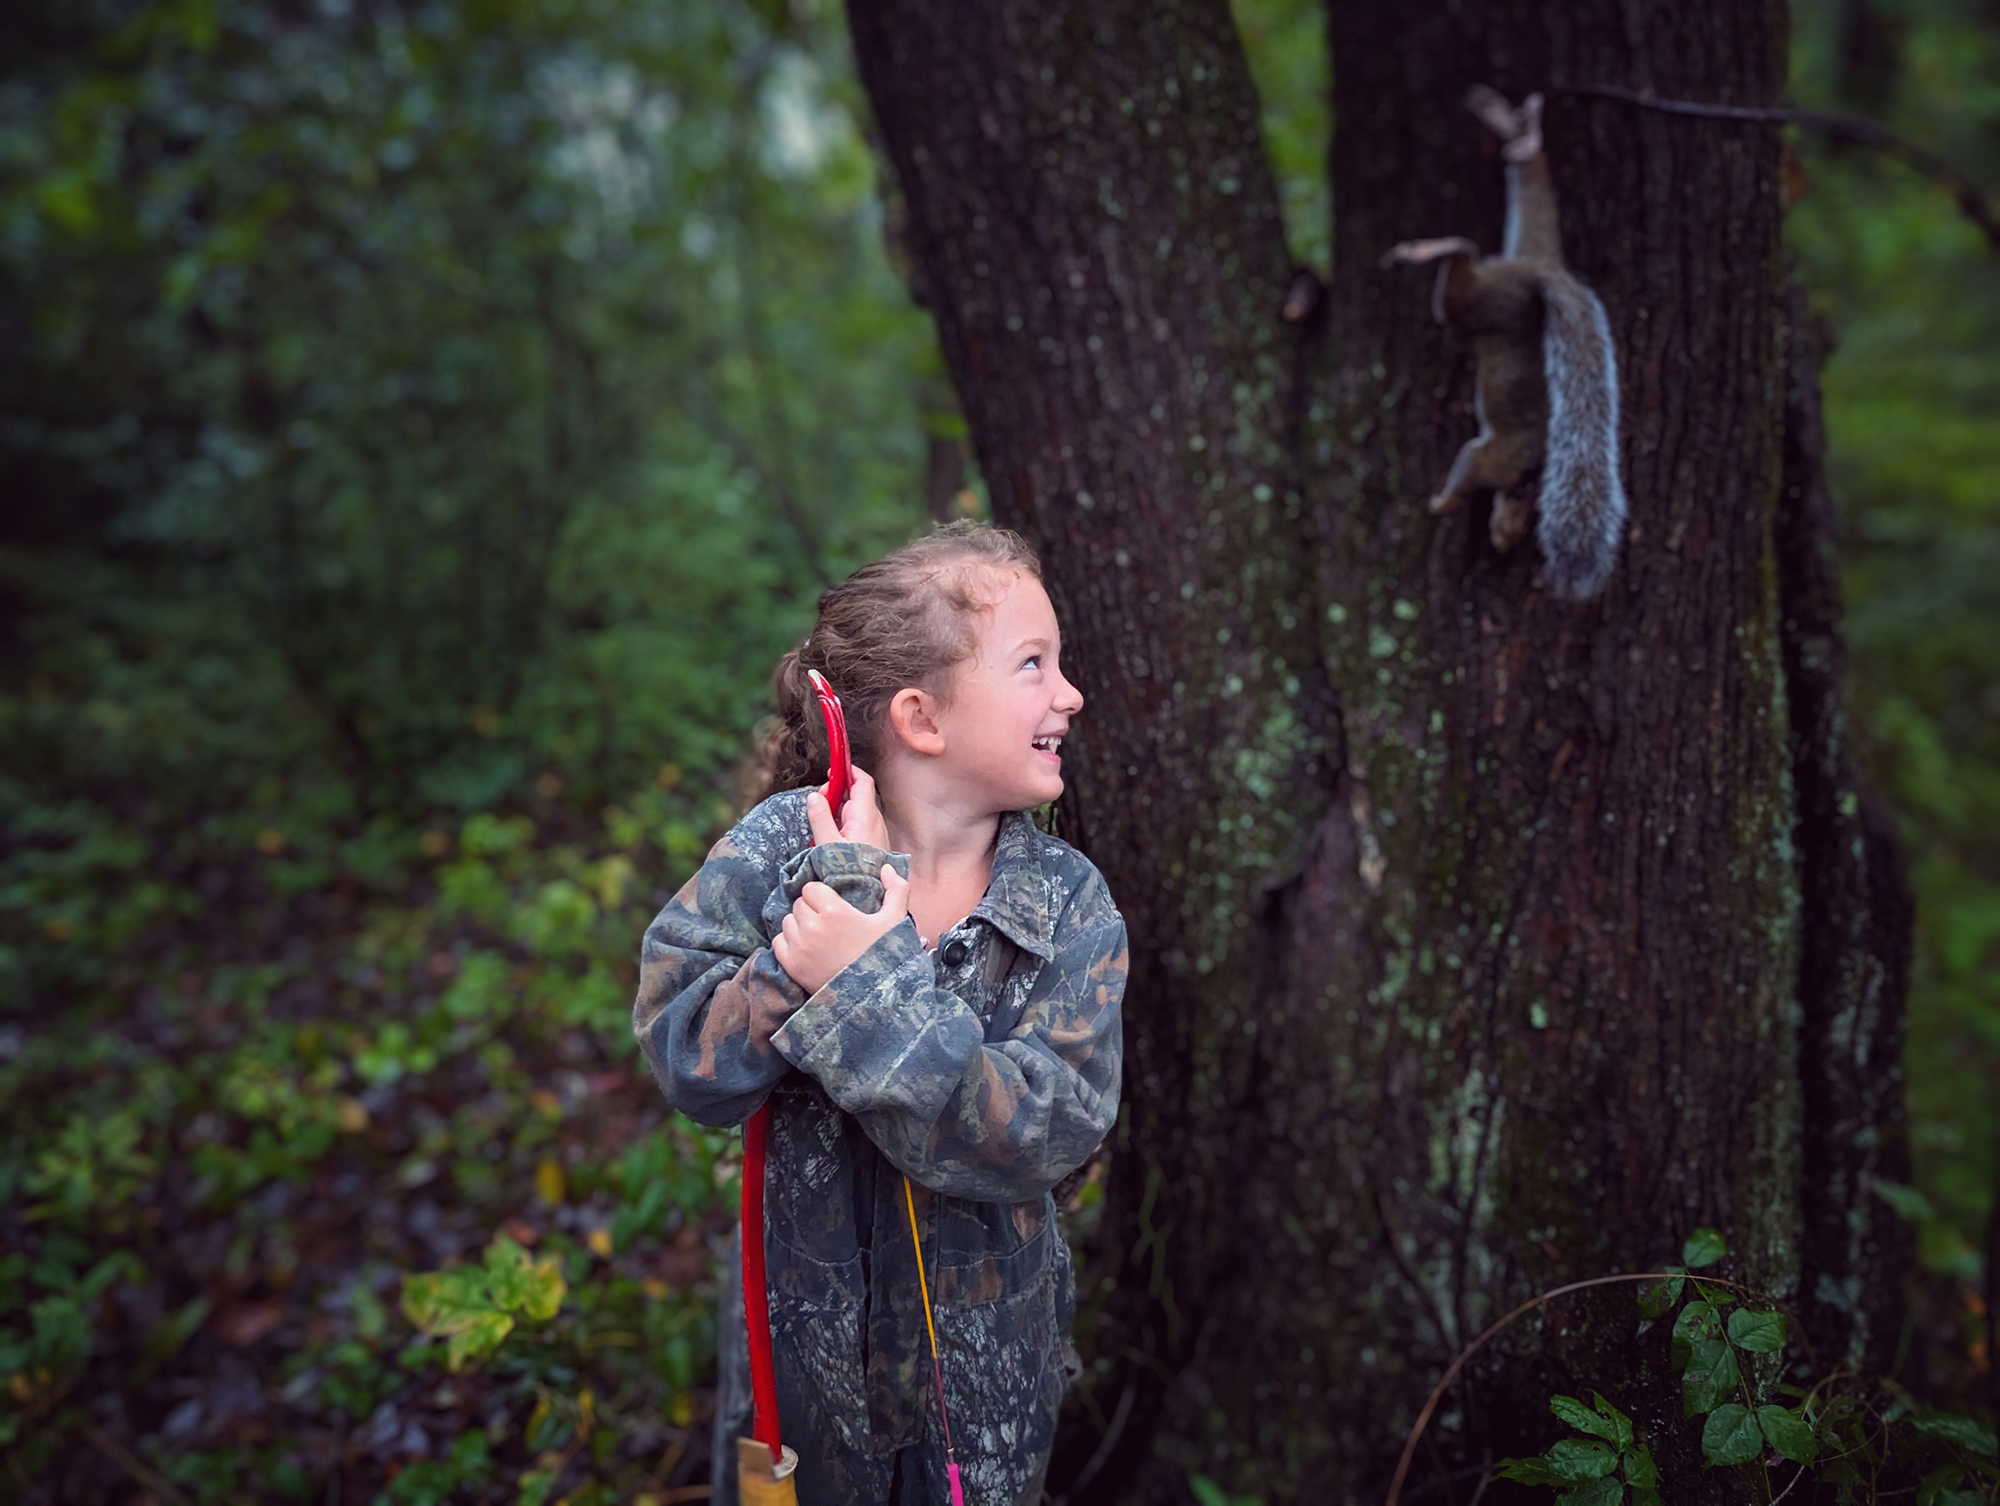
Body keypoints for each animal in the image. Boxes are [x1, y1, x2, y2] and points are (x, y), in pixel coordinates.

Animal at [1384, 88, 1632, 600]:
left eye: (1519, 529)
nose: (1503, 540)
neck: (1524, 477)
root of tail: (1540, 271)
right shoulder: (1492, 459)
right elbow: (1465, 472)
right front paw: (1439, 503)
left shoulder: (1492, 462)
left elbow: (1466, 472)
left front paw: (1443, 506)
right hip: (1489, 298)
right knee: (1465, 257)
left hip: (1500, 287)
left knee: (1519, 189)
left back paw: (1517, 134)